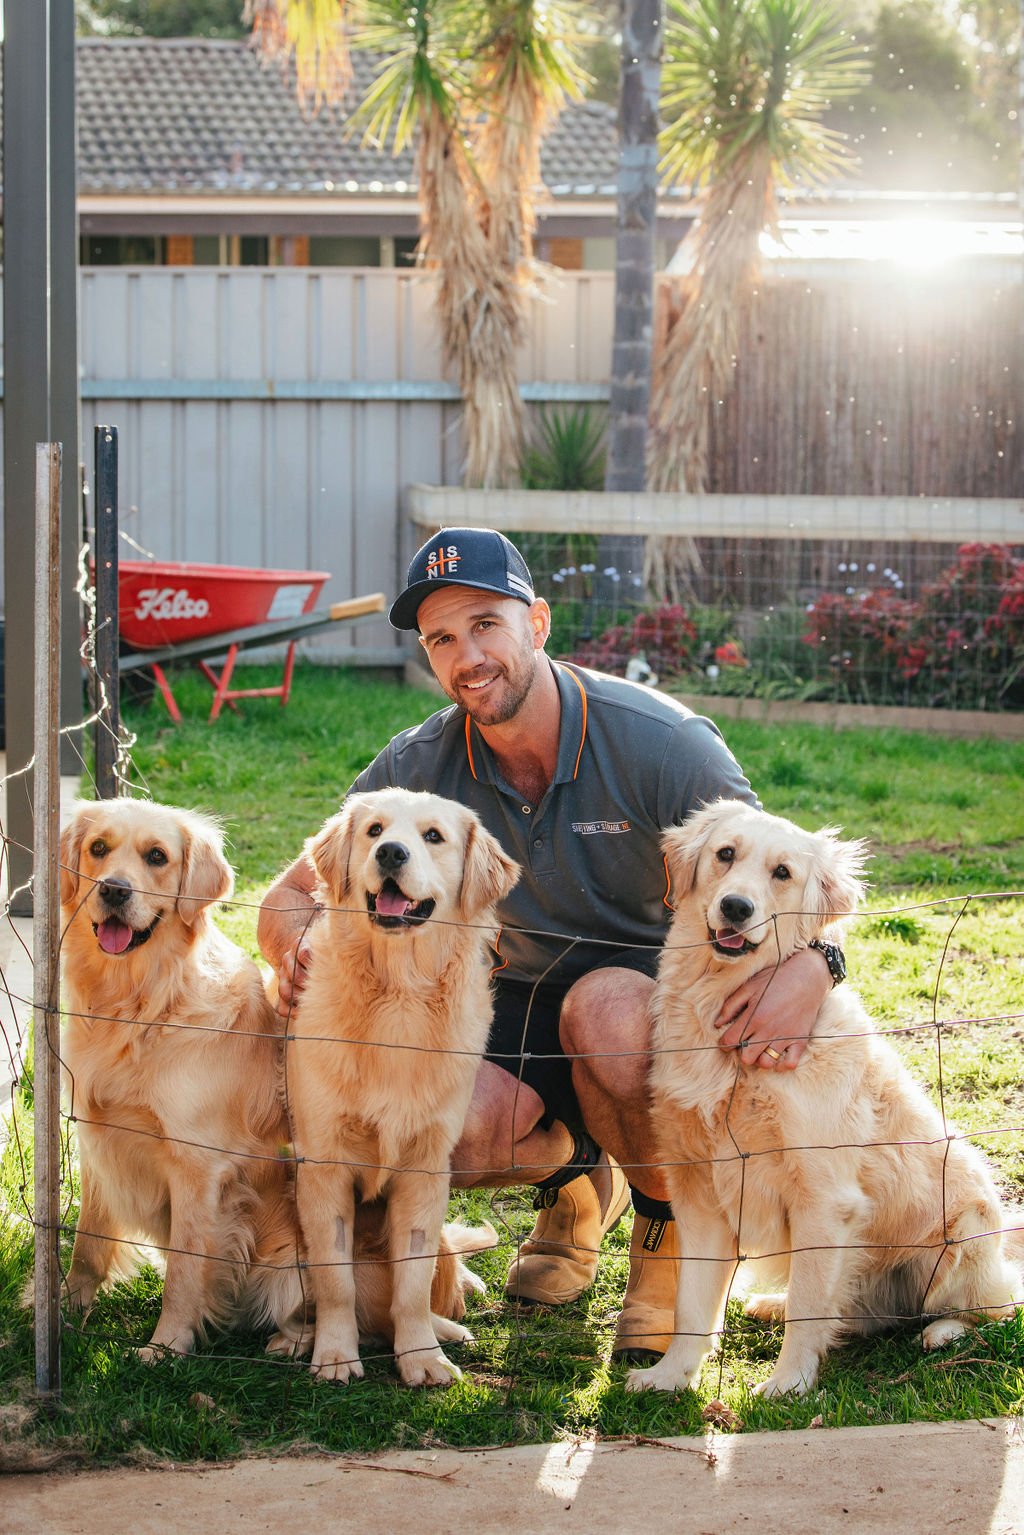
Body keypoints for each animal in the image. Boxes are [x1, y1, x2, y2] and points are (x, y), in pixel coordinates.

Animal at [57, 798, 497, 1363]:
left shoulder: (198, 1169)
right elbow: (87, 1248)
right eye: (98, 848)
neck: (139, 1005)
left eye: (157, 856)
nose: (113, 890)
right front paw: (60, 1311)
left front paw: (167, 1345)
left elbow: (183, 1272)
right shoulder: (99, 1144)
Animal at [290, 792, 521, 1393]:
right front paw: (335, 1354)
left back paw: (450, 1326)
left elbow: (412, 1284)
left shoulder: (426, 1168)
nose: (391, 852)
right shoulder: (324, 1166)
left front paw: (420, 1356)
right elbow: (335, 1279)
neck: (398, 994)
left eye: (433, 836)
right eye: (374, 830)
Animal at [626, 804, 1024, 1406]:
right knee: (859, 1313)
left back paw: (943, 1332)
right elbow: (691, 1304)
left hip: (964, 1234)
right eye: (725, 854)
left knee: (991, 1307)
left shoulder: (824, 1199)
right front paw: (670, 1375)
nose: (735, 907)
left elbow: (811, 1305)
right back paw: (774, 1303)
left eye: (782, 873)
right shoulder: (699, 1196)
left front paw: (788, 1385)